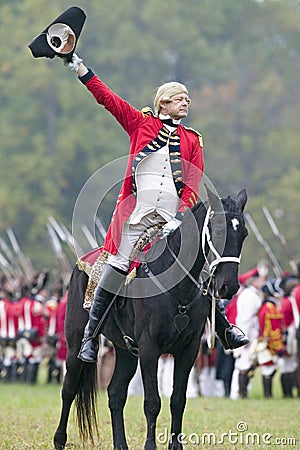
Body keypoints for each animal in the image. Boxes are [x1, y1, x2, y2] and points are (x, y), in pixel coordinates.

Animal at [54, 186, 248, 450]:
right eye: (218, 230)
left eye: (244, 234)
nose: (229, 286)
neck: (177, 286)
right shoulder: (149, 349)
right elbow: (152, 402)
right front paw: (150, 445)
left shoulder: (188, 350)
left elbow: (178, 399)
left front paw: (176, 445)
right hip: (75, 344)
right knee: (69, 388)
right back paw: (59, 440)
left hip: (125, 351)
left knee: (116, 394)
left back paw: (120, 445)